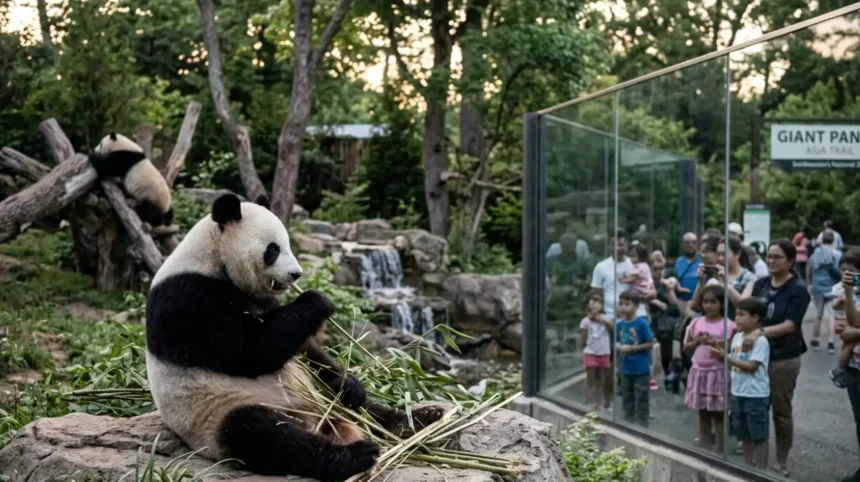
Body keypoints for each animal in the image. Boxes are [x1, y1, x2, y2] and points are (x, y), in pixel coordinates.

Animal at [145, 192, 443, 480]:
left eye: (287, 244)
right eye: (273, 250)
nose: (296, 274)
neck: (213, 260)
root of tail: (315, 419)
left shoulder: (260, 300)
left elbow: (302, 346)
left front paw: (350, 385)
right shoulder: (188, 300)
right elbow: (248, 350)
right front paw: (317, 300)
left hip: (319, 397)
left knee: (359, 407)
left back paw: (416, 419)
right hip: (219, 412)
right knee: (263, 433)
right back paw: (354, 455)